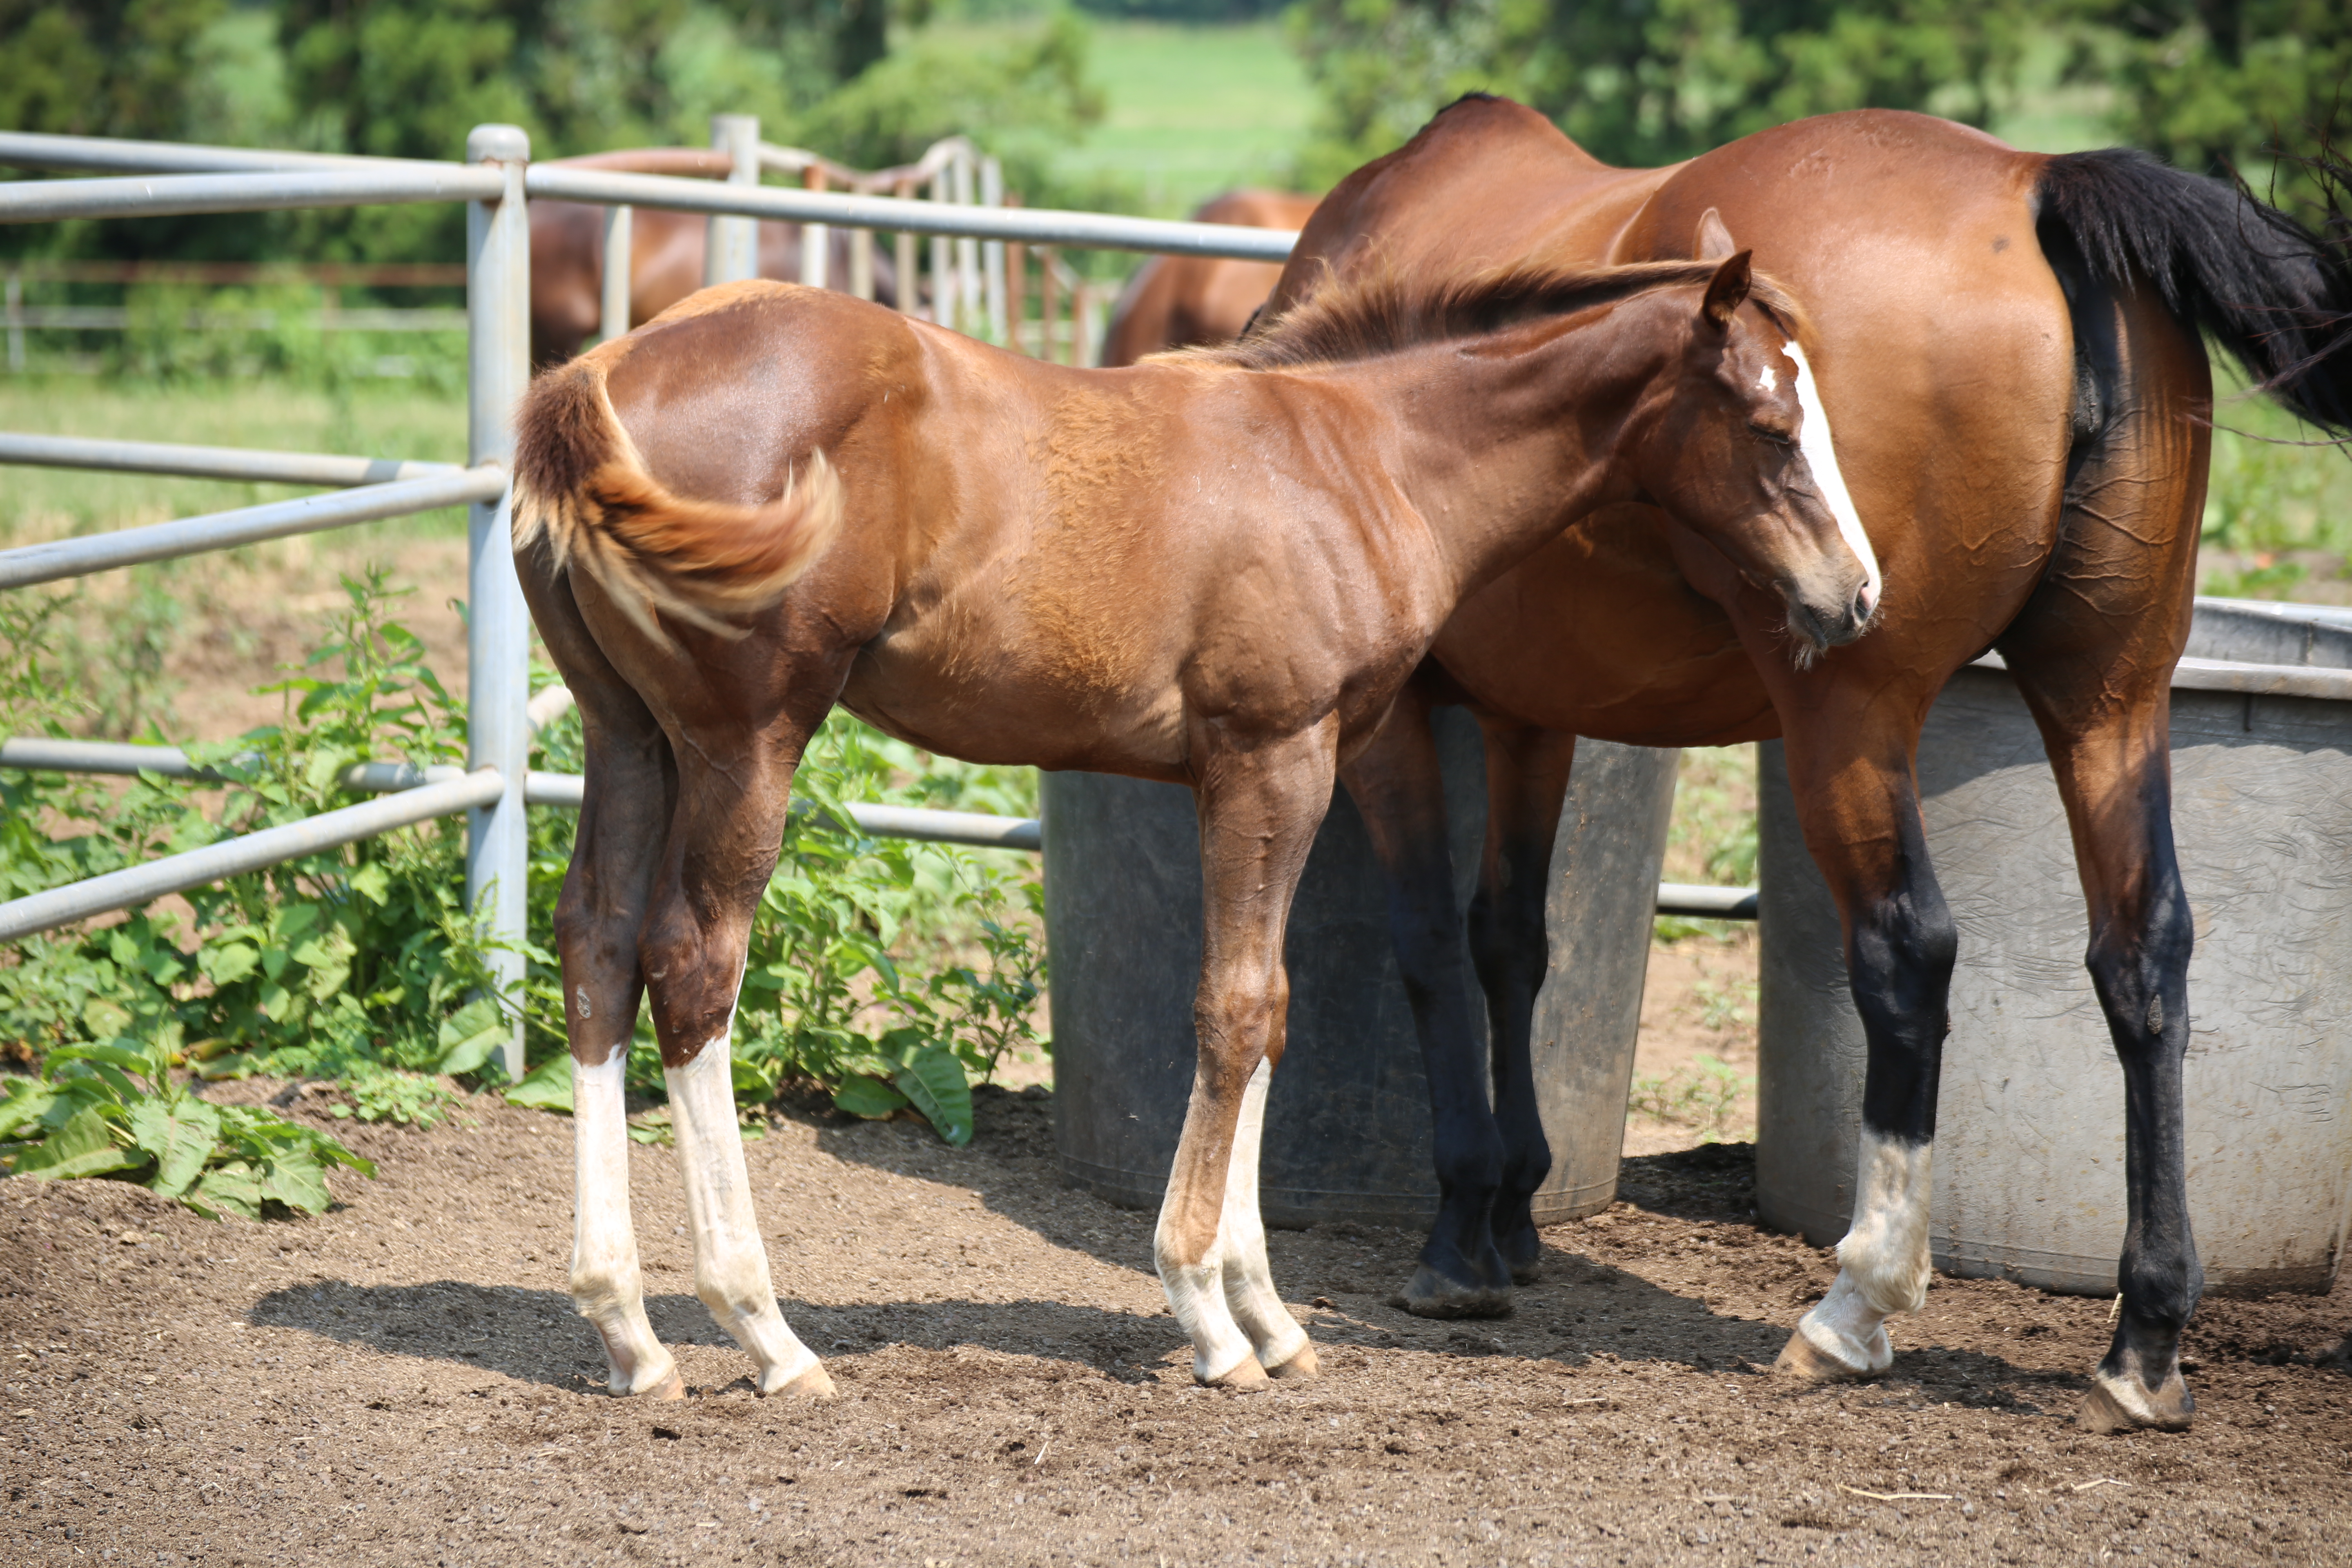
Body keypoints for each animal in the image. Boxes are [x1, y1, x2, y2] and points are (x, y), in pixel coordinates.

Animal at [510, 257, 1872, 1401]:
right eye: (1771, 428)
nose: (1858, 597)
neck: (1365, 460)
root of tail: (592, 378)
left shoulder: (1304, 762)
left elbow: (1270, 1014)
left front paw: (1270, 1312)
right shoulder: (1273, 758)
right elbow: (1236, 1008)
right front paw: (1212, 1318)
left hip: (628, 736)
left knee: (597, 947)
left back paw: (627, 1332)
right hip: (749, 738)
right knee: (695, 966)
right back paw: (768, 1334)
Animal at [1270, 101, 2352, 1439]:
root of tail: (2032, 180)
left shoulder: (1395, 718)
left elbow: (1426, 944)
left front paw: (1464, 1226)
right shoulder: (1537, 714)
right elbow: (1510, 940)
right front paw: (1512, 1207)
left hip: (1849, 707)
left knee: (1907, 953)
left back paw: (1856, 1301)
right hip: (2109, 695)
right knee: (2141, 957)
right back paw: (2142, 1336)